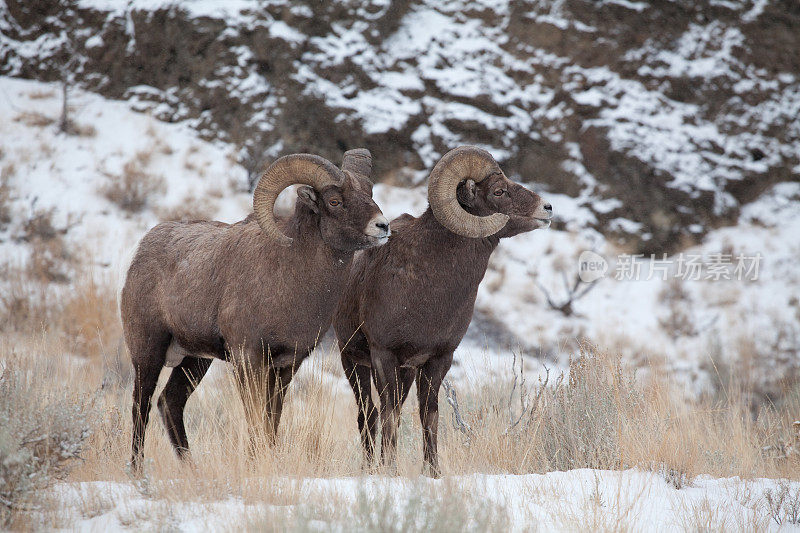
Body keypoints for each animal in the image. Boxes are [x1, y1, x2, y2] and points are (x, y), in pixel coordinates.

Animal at [119, 149, 390, 470]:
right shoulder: (248, 359)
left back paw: (191, 469)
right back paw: (137, 471)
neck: (292, 276)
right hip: (148, 353)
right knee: (141, 406)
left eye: (369, 192)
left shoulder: (286, 366)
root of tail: (142, 250)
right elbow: (256, 417)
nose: (382, 226)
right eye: (335, 201)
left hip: (194, 361)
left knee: (170, 402)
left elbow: (272, 419)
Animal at [332, 144, 552, 474]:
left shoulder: (437, 360)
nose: (547, 208)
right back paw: (370, 468)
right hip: (353, 362)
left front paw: (433, 472)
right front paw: (390, 471)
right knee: (368, 414)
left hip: (404, 373)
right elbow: (390, 415)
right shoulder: (384, 356)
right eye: (499, 191)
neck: (429, 286)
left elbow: (429, 416)